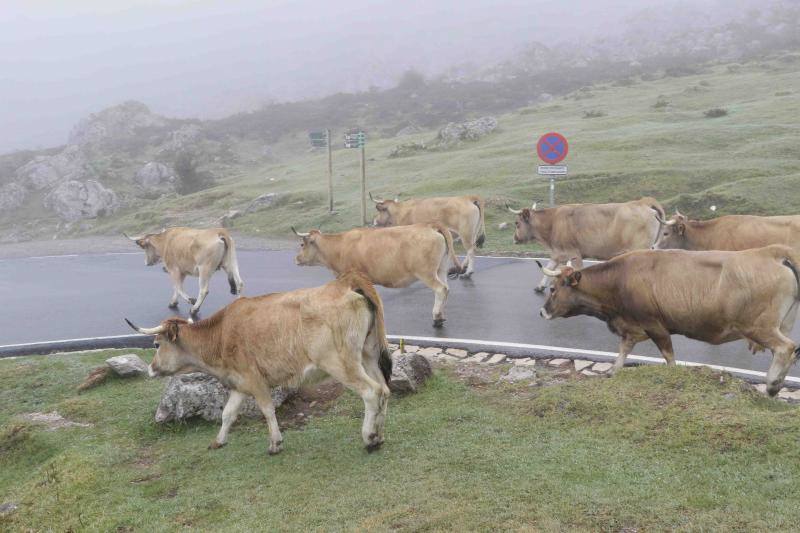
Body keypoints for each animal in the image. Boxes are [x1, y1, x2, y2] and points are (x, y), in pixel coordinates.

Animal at [125, 270, 394, 454]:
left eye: (156, 344)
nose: (151, 368)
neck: (221, 333)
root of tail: (347, 281)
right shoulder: (239, 384)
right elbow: (228, 413)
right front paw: (218, 441)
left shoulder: (254, 379)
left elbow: (267, 409)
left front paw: (275, 443)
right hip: (368, 355)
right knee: (384, 391)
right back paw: (379, 435)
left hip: (341, 363)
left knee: (371, 391)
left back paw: (369, 438)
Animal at [294, 222, 466, 326]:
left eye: (302, 244)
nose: (296, 258)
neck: (339, 247)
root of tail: (430, 225)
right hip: (441, 269)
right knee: (446, 288)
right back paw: (441, 315)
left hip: (426, 273)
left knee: (440, 289)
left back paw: (436, 317)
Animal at [510, 196, 664, 290]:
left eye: (516, 223)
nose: (514, 239)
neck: (553, 222)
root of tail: (642, 202)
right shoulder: (557, 253)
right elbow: (549, 267)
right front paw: (540, 286)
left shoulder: (574, 254)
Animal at [536, 245, 800, 394]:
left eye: (553, 289)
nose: (542, 312)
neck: (618, 280)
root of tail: (771, 251)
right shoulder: (631, 328)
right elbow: (623, 351)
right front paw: (612, 371)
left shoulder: (655, 325)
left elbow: (668, 356)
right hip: (781, 324)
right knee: (791, 352)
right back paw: (777, 384)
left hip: (759, 326)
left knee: (786, 348)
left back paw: (772, 384)